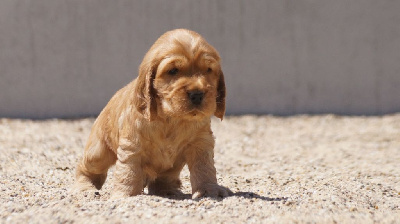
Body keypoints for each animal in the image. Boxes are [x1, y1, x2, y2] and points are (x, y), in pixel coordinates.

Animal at [74, 28, 231, 199]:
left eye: (208, 70)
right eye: (173, 71)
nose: (197, 94)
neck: (172, 118)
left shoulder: (201, 142)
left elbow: (205, 168)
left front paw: (209, 190)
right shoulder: (132, 145)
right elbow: (129, 172)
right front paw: (125, 195)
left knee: (162, 180)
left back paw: (168, 191)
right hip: (99, 151)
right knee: (86, 167)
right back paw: (85, 188)